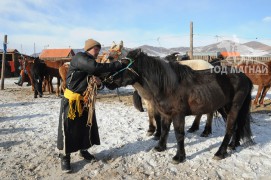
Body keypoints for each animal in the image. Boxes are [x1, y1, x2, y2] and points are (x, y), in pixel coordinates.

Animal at [104, 48, 255, 164]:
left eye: (124, 63)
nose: (107, 81)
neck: (168, 86)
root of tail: (244, 77)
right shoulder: (166, 114)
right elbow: (164, 130)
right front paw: (160, 147)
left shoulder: (178, 115)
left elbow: (179, 135)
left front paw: (179, 157)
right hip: (224, 108)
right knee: (236, 126)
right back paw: (233, 145)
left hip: (233, 107)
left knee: (230, 128)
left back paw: (220, 152)